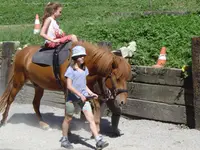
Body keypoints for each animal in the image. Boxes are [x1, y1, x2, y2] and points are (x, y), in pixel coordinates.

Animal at [0, 41, 131, 136]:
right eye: (117, 78)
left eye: (127, 78)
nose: (122, 101)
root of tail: (21, 52)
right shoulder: (68, 90)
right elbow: (68, 110)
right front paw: (68, 131)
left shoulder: (87, 89)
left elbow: (97, 106)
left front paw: (96, 128)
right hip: (18, 81)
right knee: (10, 99)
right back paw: (4, 120)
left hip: (38, 86)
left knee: (35, 104)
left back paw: (43, 124)